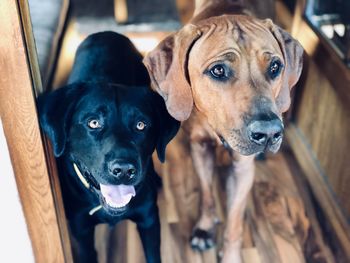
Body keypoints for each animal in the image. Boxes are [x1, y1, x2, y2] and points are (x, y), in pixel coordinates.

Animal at [37, 32, 180, 262]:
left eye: (141, 125)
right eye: (93, 122)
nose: (123, 170)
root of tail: (106, 33)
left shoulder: (149, 220)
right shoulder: (81, 232)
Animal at [144, 0, 302, 262]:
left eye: (275, 67)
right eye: (218, 70)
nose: (270, 133)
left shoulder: (242, 168)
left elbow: (235, 221)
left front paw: (230, 254)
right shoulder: (199, 149)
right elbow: (207, 194)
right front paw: (205, 227)